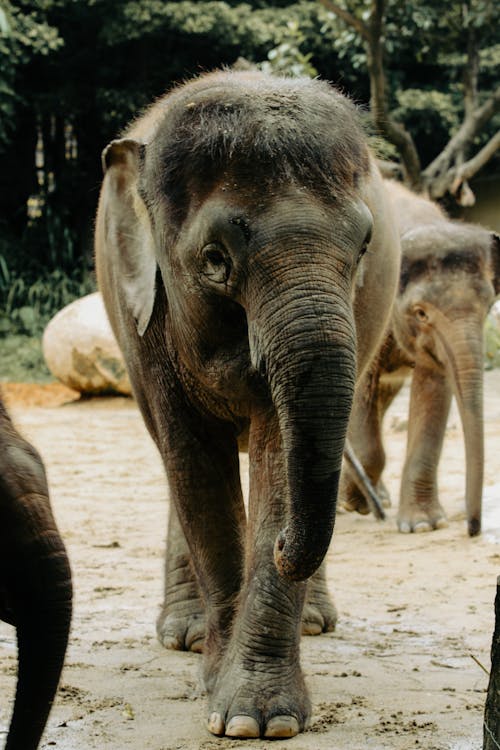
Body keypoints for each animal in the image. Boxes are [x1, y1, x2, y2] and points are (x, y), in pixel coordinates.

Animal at [93, 70, 398, 740]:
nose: (285, 547)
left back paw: (313, 622)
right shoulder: (146, 324)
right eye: (215, 260)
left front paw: (261, 720)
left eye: (365, 246)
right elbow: (193, 464)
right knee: (174, 466)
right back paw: (185, 634)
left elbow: (280, 457)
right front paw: (216, 693)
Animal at [344, 179, 500, 536]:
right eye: (421, 313)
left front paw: (423, 525)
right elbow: (360, 390)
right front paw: (355, 505)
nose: (473, 529)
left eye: (488, 305)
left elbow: (434, 390)